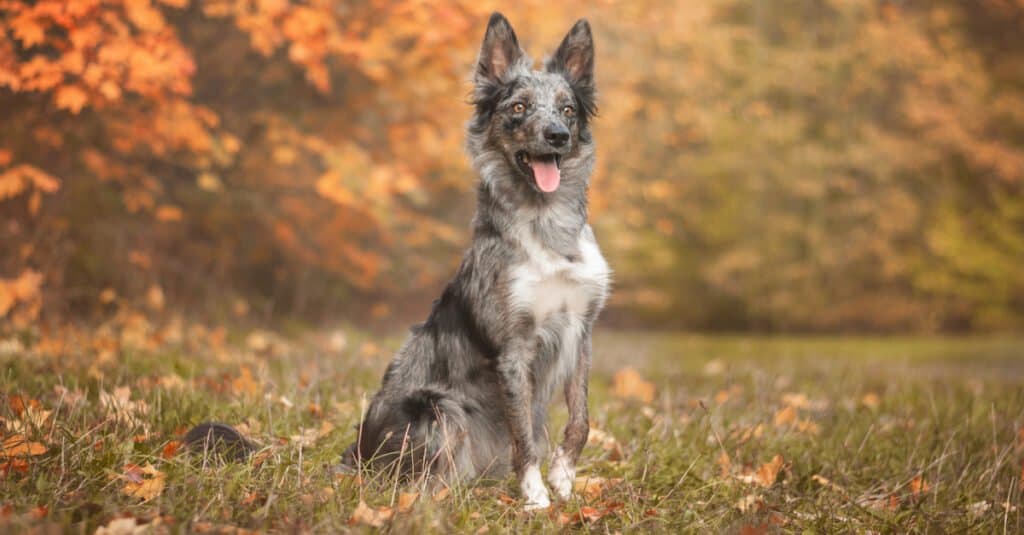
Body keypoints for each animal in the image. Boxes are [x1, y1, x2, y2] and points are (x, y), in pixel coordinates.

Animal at [339, 10, 610, 506]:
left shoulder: (582, 330)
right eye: (519, 108)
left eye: (568, 109)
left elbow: (581, 419)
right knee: (428, 477)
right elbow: (523, 437)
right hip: (434, 406)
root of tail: (356, 453)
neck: (548, 226)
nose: (557, 136)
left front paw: (563, 477)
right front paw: (535, 496)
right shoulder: (514, 346)